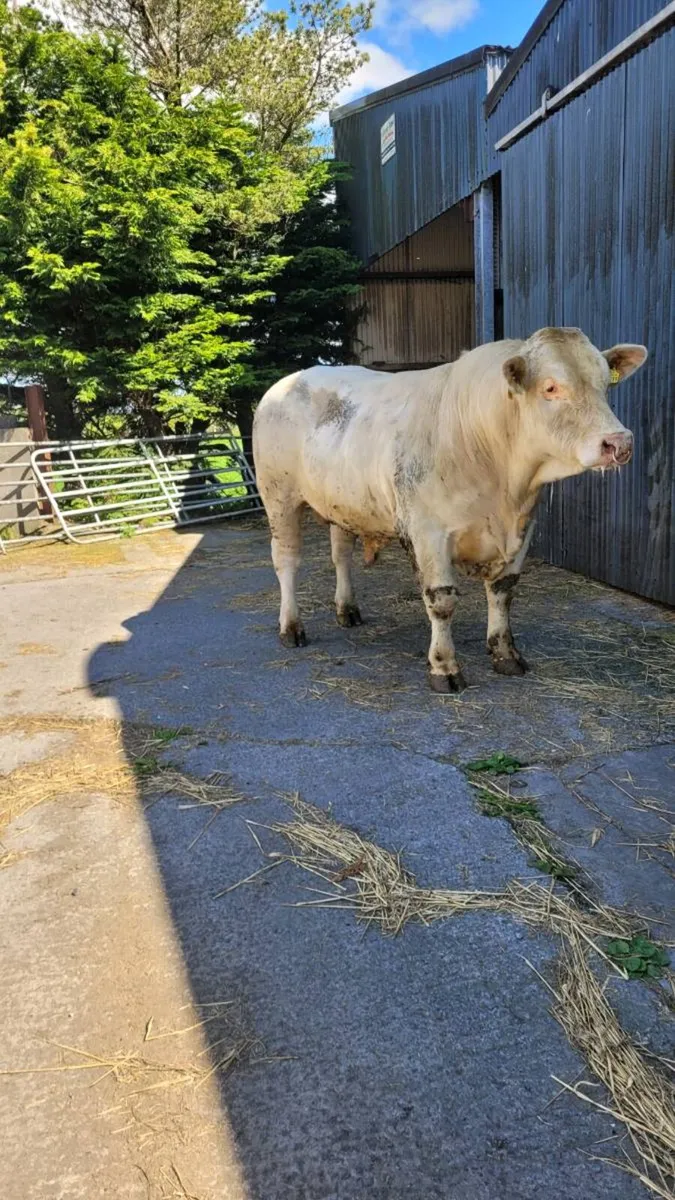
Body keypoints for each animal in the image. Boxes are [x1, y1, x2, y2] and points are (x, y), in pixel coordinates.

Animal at [252, 328, 647, 692]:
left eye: (605, 385)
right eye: (550, 388)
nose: (619, 442)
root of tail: (289, 380)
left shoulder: (525, 528)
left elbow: (503, 592)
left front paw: (506, 654)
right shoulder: (428, 533)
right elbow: (441, 601)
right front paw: (444, 668)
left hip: (341, 501)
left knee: (340, 555)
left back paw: (347, 610)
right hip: (279, 496)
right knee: (287, 561)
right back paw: (291, 627)